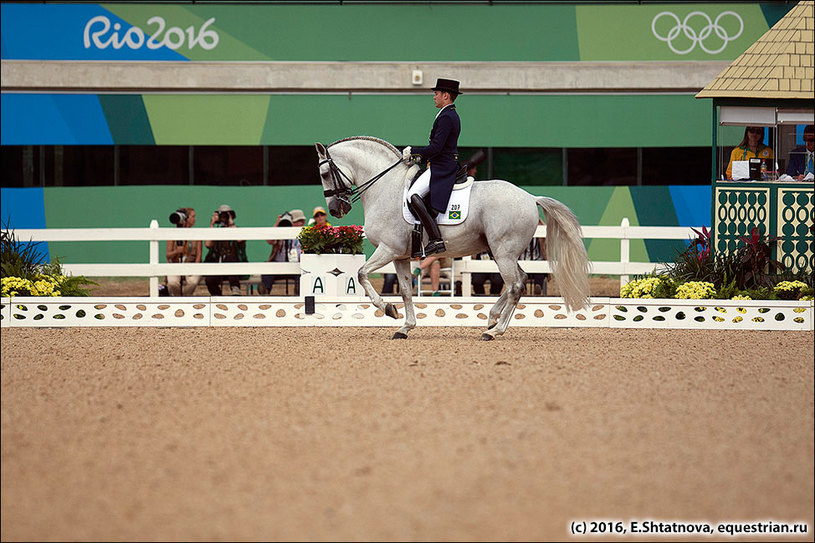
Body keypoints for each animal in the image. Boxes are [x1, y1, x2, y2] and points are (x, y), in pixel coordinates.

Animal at [316, 136, 588, 340]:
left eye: (325, 173)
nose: (335, 210)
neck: (386, 188)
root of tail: (530, 197)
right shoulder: (400, 256)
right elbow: (405, 290)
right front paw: (405, 327)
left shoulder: (387, 249)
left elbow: (361, 273)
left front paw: (388, 309)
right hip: (503, 252)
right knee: (520, 279)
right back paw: (491, 319)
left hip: (503, 252)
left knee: (516, 285)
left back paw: (495, 331)